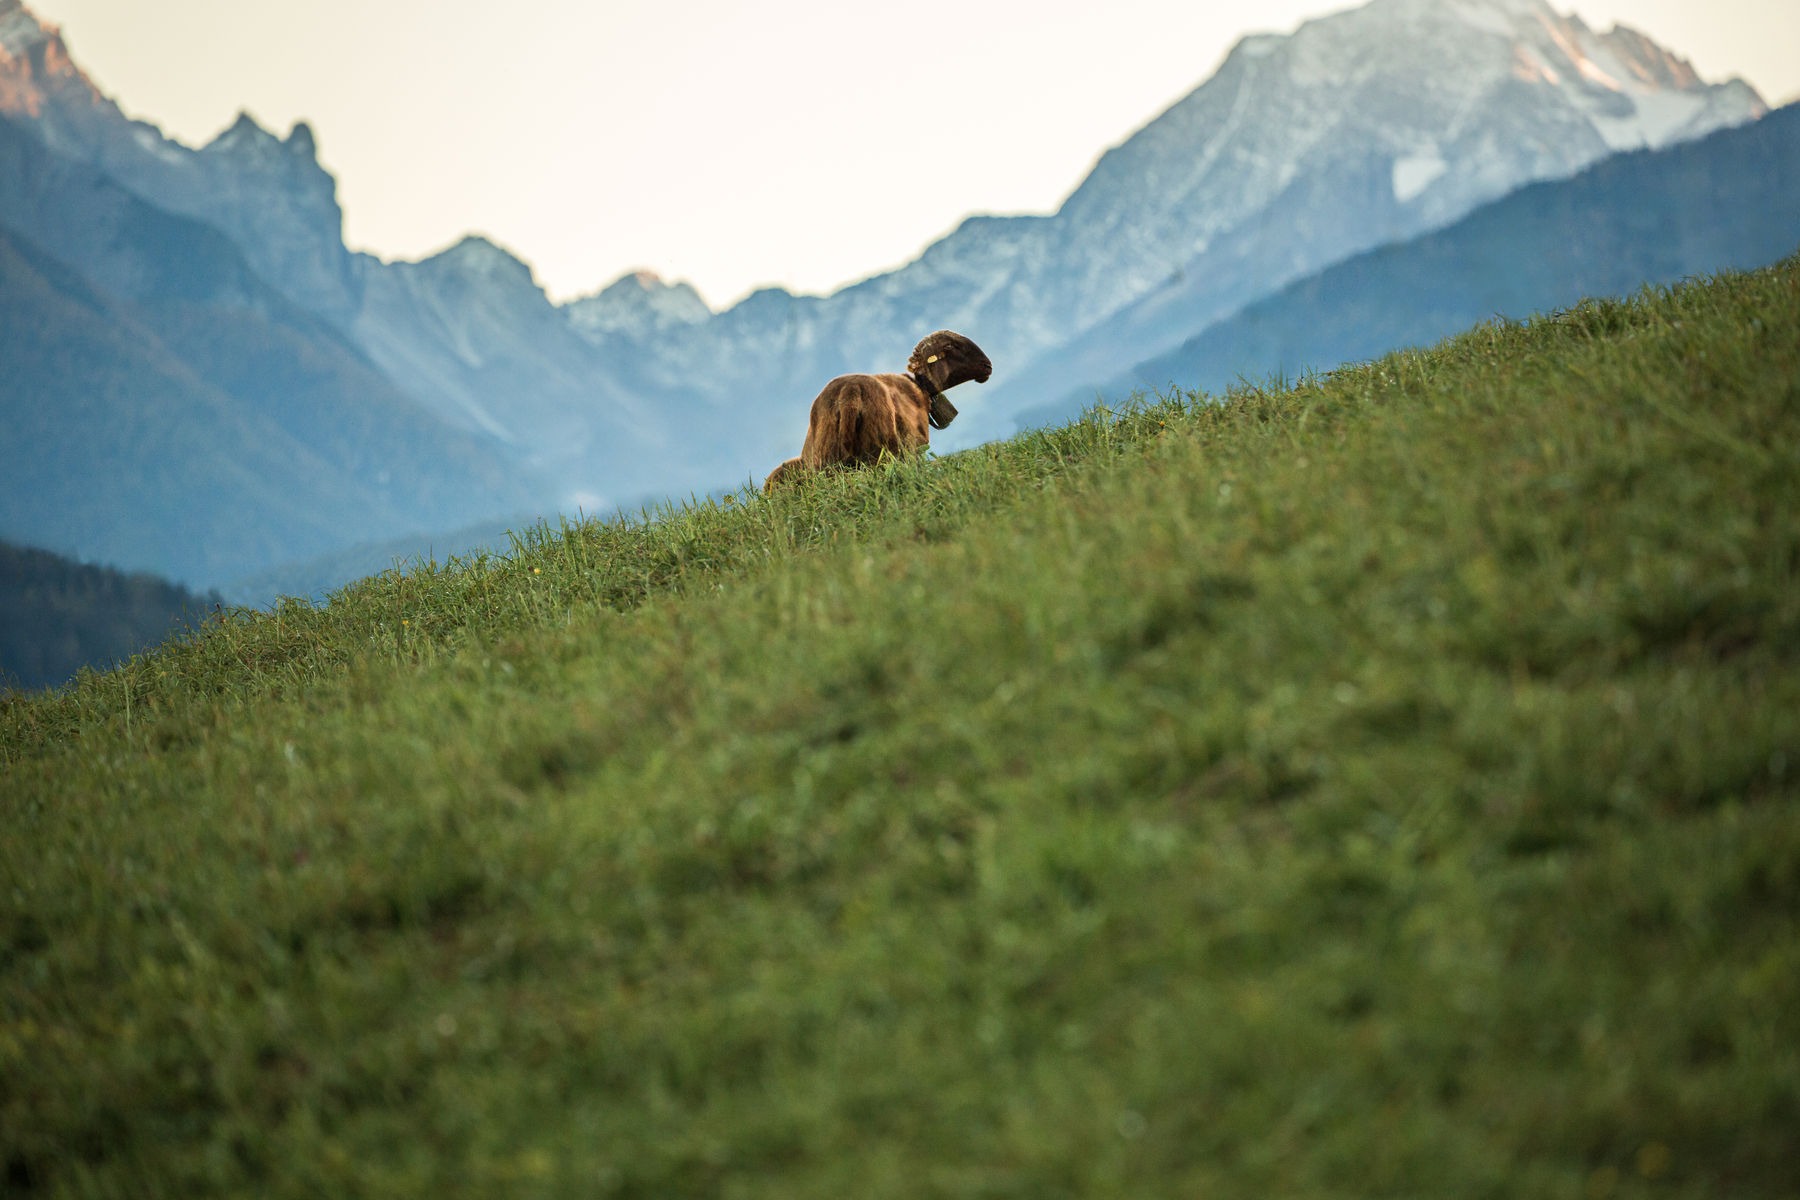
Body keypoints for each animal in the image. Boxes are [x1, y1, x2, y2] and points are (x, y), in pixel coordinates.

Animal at [763, 330, 992, 491]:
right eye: (951, 346)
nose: (987, 365)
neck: (919, 388)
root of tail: (849, 395)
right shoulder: (913, 451)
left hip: (828, 464)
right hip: (880, 455)